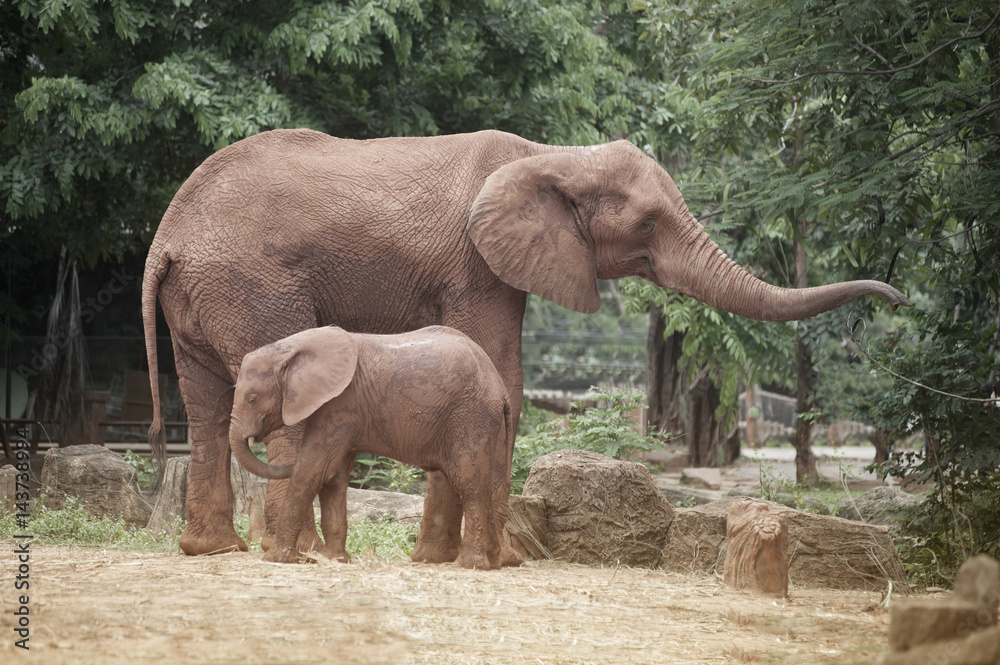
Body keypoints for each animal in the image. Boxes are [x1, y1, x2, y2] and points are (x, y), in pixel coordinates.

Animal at [228, 325, 517, 568]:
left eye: (252, 398)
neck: (290, 346)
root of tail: (500, 389)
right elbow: (334, 477)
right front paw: (336, 560)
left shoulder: (340, 404)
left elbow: (313, 470)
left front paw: (274, 559)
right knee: (487, 482)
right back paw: (494, 562)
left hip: (471, 415)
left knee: (469, 482)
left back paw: (470, 565)